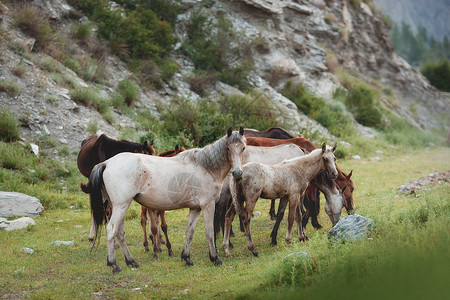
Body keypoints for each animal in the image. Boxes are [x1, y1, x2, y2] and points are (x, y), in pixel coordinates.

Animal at [87, 127, 246, 274]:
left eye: (243, 147)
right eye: (228, 148)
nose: (238, 173)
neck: (205, 167)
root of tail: (106, 163)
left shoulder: (195, 208)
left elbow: (190, 232)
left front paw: (187, 258)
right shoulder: (208, 206)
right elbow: (210, 232)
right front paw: (215, 258)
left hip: (118, 206)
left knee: (120, 233)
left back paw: (131, 261)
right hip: (121, 206)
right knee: (111, 230)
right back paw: (114, 265)